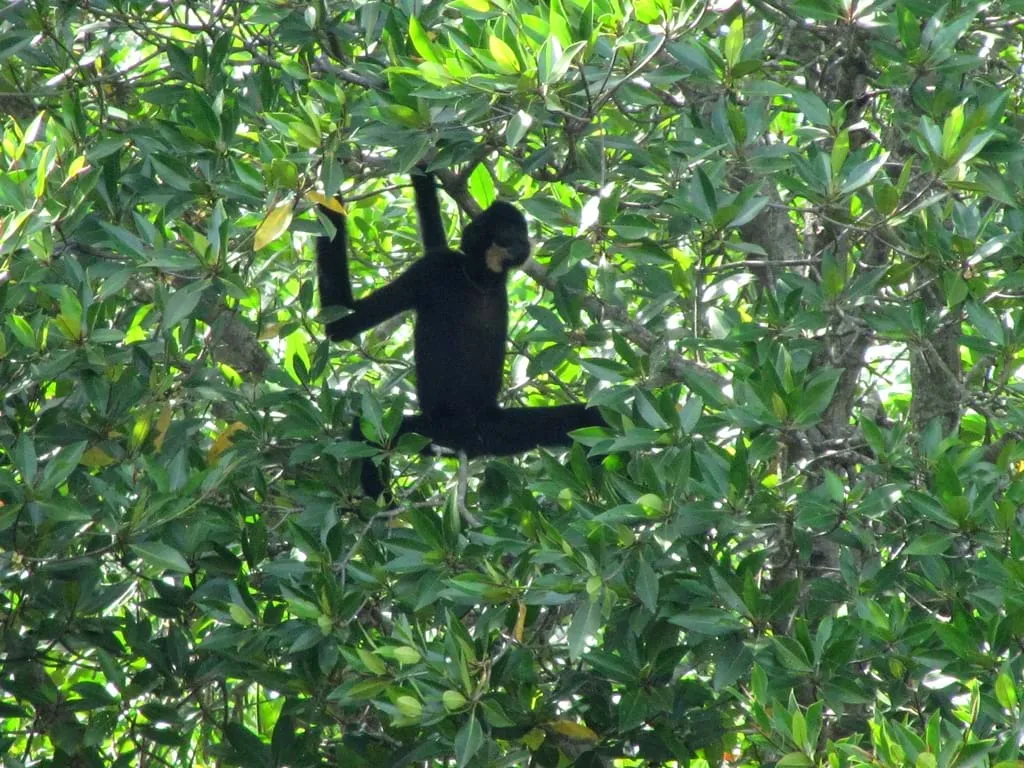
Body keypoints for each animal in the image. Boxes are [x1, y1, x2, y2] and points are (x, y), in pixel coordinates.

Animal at [319, 167, 602, 499]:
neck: (479, 279)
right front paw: (329, 191)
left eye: (522, 233)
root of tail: (473, 437)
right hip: (436, 431)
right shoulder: (432, 269)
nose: (524, 243)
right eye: (511, 234)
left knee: (590, 419)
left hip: (502, 429)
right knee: (369, 435)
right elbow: (341, 325)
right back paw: (381, 504)